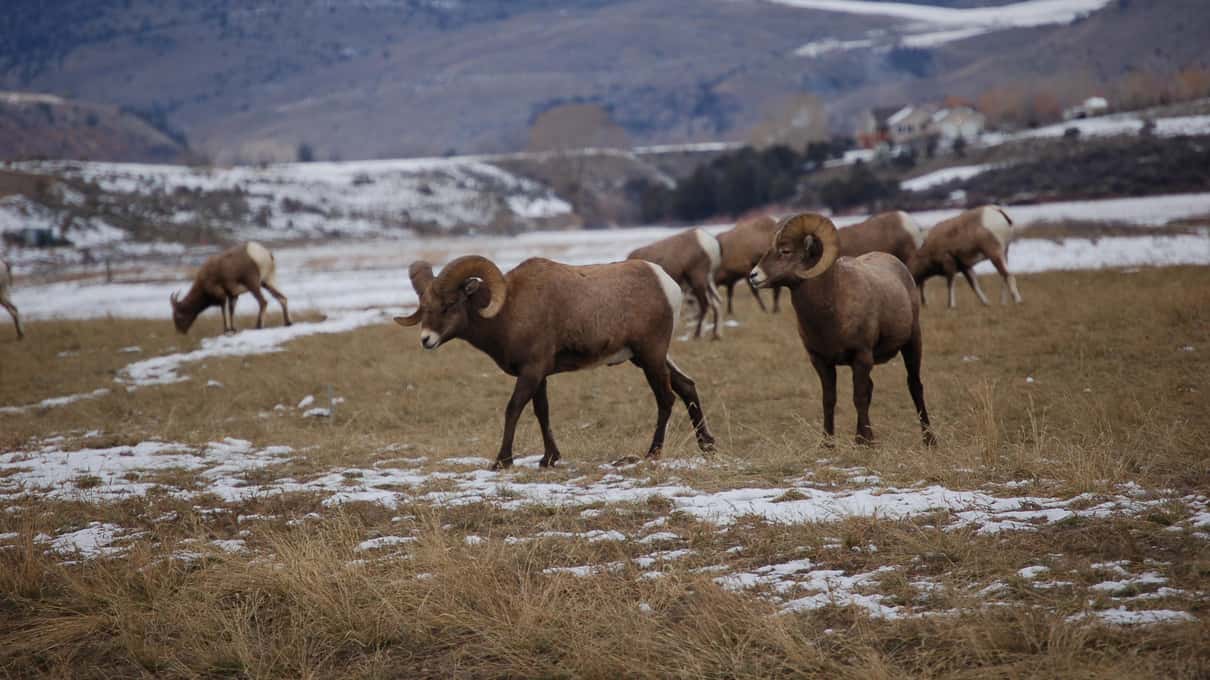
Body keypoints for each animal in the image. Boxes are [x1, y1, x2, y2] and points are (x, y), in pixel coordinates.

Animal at [395, 255, 716, 469]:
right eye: (425, 307)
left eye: (450, 305)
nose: (426, 340)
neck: (509, 312)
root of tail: (666, 284)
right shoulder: (539, 376)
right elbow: (542, 412)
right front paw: (549, 459)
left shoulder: (531, 371)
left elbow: (513, 410)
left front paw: (502, 461)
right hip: (648, 358)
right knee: (687, 387)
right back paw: (707, 447)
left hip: (650, 356)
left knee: (666, 398)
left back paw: (652, 454)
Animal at [749, 213, 935, 446]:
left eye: (785, 251)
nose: (753, 276)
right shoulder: (821, 361)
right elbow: (829, 400)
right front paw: (828, 444)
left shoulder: (862, 357)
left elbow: (859, 398)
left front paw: (868, 443)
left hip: (912, 343)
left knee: (914, 386)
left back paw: (929, 440)